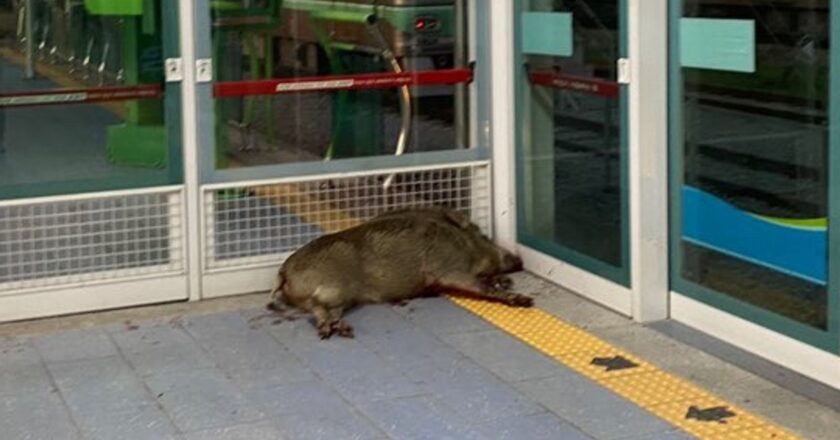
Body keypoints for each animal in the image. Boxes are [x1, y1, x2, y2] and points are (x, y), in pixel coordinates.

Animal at [267, 207, 532, 339]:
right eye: (484, 235)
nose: (519, 260)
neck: (461, 242)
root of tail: (283, 271)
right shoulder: (448, 269)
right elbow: (481, 286)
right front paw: (524, 299)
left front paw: (505, 282)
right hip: (335, 286)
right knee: (317, 306)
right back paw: (332, 332)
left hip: (344, 298)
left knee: (327, 312)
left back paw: (342, 330)